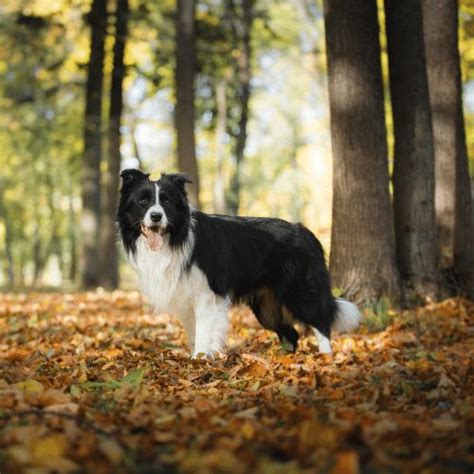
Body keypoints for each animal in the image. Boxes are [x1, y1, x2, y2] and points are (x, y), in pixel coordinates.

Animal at [117, 157, 360, 358]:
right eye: (142, 202)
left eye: (167, 202)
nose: (156, 217)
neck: (175, 238)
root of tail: (306, 231)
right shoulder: (186, 298)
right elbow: (194, 335)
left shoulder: (206, 295)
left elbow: (203, 335)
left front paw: (200, 361)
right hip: (267, 306)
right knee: (291, 334)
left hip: (300, 291)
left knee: (321, 323)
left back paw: (325, 358)